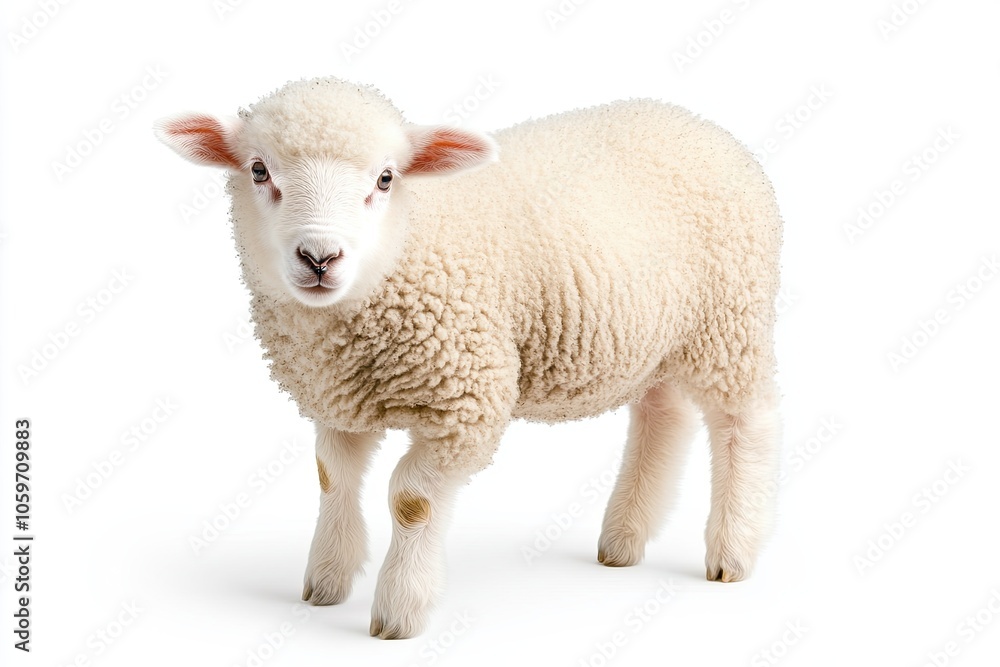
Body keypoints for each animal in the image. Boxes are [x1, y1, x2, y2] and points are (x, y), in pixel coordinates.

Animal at [154, 76, 783, 639]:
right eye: (259, 171)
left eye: (386, 178)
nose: (319, 257)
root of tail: (698, 123)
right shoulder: (338, 398)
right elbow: (332, 476)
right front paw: (327, 581)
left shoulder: (466, 402)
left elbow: (411, 500)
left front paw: (399, 611)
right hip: (655, 338)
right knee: (663, 416)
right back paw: (624, 540)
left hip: (730, 323)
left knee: (743, 423)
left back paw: (731, 550)